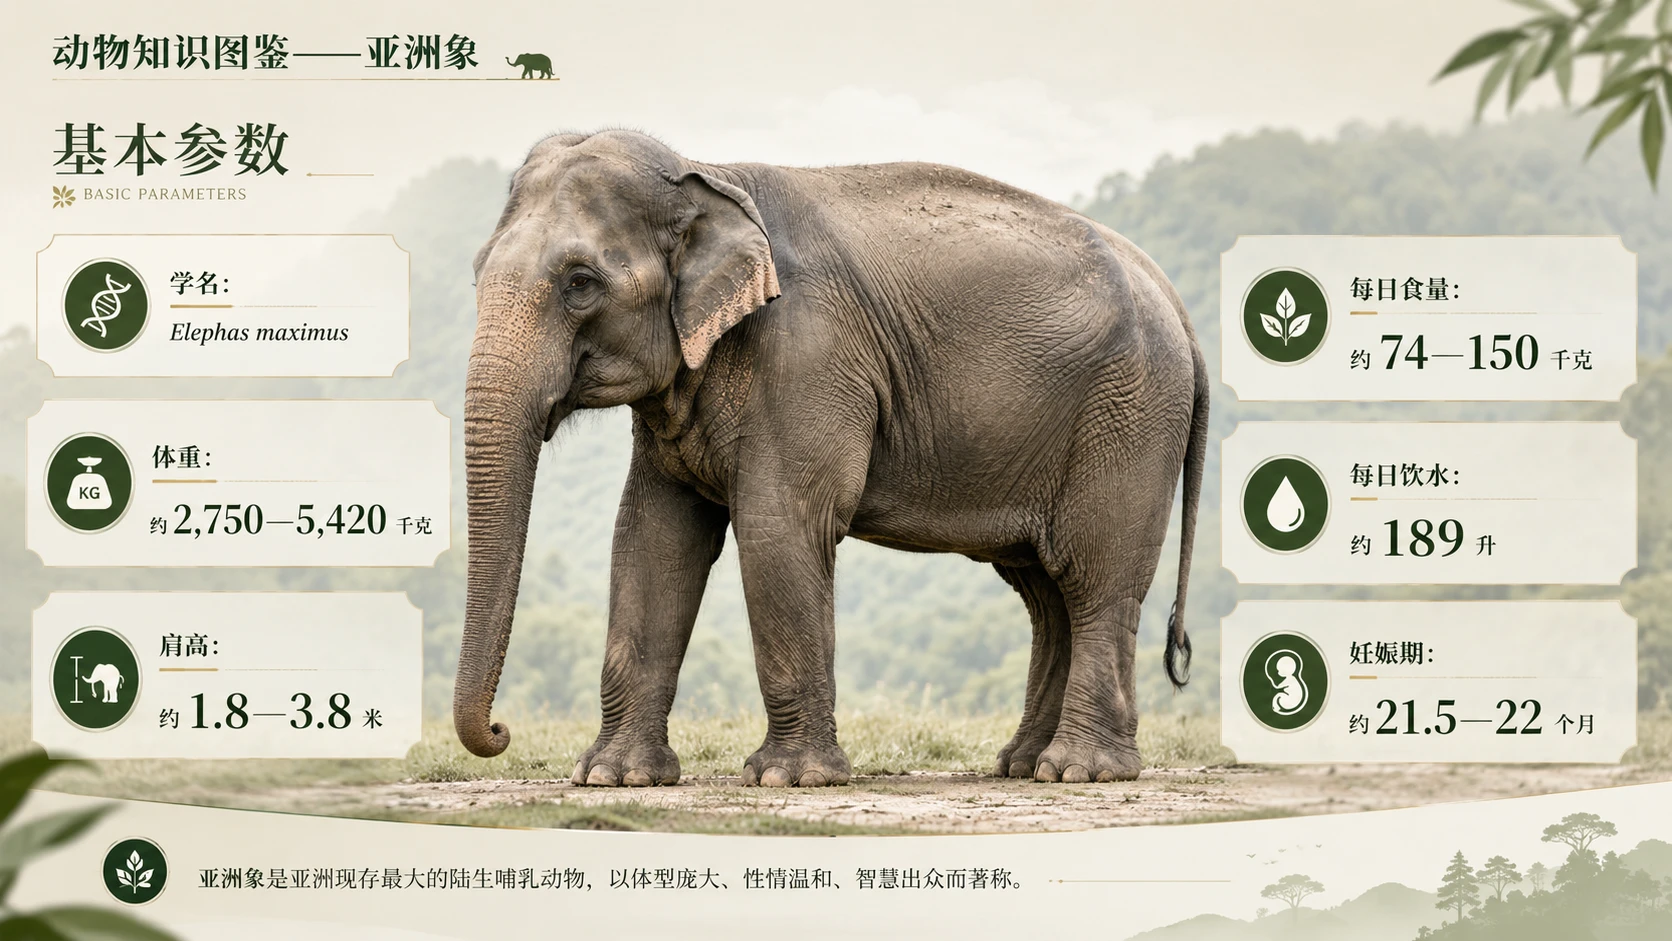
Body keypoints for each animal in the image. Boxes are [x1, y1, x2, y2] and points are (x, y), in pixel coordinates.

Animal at [454, 129, 1208, 788]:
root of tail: (1177, 303)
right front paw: (614, 777)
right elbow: (651, 538)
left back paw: (1082, 769)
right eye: (477, 269)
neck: (708, 173)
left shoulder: (808, 353)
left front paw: (789, 779)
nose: (501, 731)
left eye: (580, 283)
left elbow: (778, 527)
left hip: (1130, 414)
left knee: (1095, 578)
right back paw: (1023, 765)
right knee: (1045, 591)